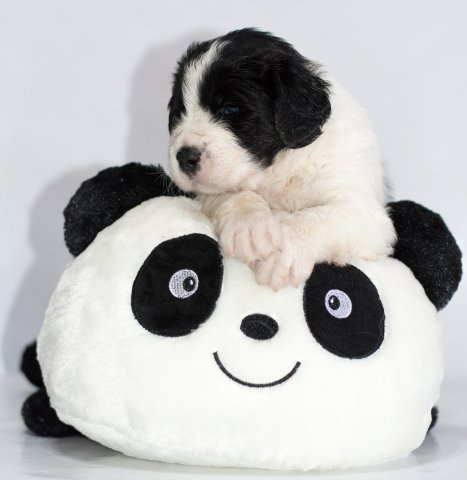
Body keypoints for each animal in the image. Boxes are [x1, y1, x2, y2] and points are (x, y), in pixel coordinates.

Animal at [167, 28, 396, 290]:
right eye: (179, 113)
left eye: (230, 109)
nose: (184, 157)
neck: (282, 168)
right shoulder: (213, 192)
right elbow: (234, 193)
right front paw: (249, 228)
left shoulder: (364, 211)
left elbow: (318, 218)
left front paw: (281, 254)